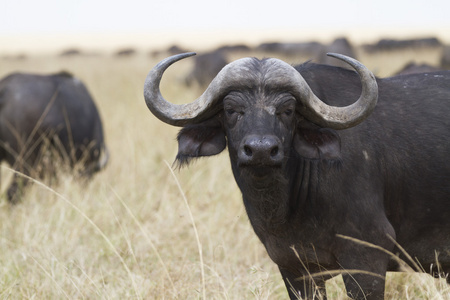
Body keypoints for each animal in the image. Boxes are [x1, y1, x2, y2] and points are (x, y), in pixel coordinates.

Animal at [143, 52, 450, 298]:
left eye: (287, 110)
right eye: (231, 110)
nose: (261, 150)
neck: (290, 208)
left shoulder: (367, 259)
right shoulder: (295, 268)